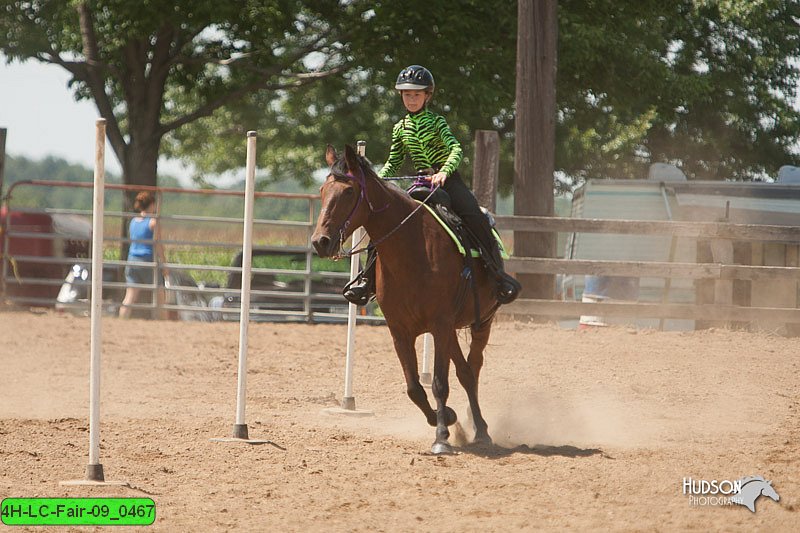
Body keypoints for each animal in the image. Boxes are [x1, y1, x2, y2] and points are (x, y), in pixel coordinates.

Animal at [312, 144, 500, 454]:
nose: (320, 242)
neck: (413, 249)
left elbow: (439, 383)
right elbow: (414, 388)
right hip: (450, 331)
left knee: (472, 371)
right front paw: (446, 418)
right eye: (322, 191)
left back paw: (482, 431)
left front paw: (441, 437)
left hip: (481, 321)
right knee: (464, 371)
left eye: (349, 191)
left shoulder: (440, 325)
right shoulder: (400, 330)